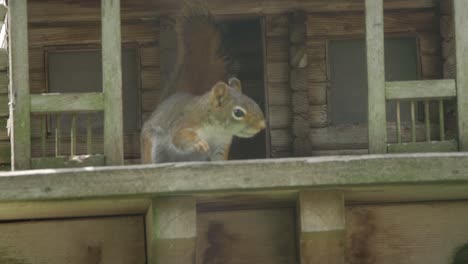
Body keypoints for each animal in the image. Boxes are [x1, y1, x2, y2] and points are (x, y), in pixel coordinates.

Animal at [139, 1, 266, 163]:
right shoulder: (185, 123)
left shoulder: (222, 142)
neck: (216, 129)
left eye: (254, 102)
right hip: (151, 144)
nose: (262, 126)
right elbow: (179, 137)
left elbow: (219, 158)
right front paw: (197, 142)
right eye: (238, 112)